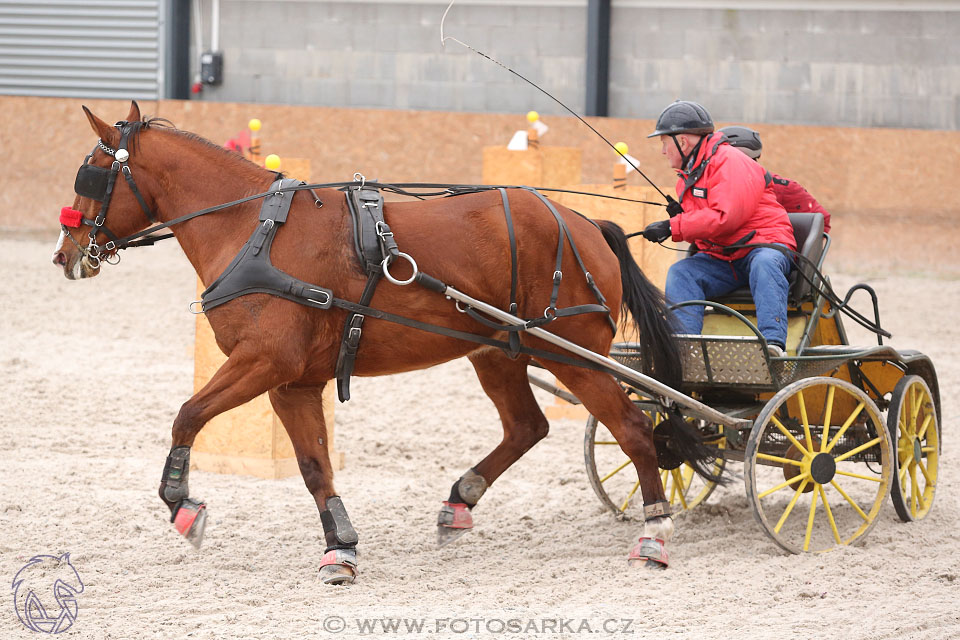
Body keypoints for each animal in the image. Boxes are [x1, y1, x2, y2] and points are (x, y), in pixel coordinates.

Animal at [54, 101, 712, 584]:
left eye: (91, 171)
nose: (65, 254)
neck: (255, 232)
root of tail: (581, 224)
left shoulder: (264, 362)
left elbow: (187, 415)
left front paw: (183, 507)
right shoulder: (292, 381)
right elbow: (313, 467)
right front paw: (340, 548)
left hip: (571, 353)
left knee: (632, 430)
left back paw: (654, 533)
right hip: (499, 352)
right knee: (528, 426)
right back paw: (461, 499)